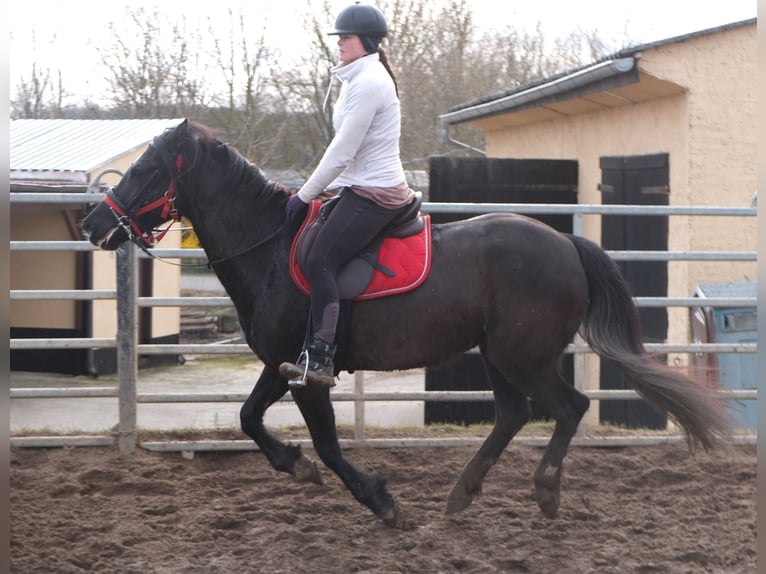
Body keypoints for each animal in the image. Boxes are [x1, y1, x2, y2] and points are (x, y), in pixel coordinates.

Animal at [82, 119, 732, 528]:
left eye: (144, 169)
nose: (92, 224)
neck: (269, 247)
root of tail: (566, 243)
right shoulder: (284, 364)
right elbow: (248, 418)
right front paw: (297, 467)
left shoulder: (310, 375)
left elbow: (328, 443)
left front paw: (378, 500)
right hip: (497, 355)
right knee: (513, 414)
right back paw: (462, 494)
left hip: (523, 356)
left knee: (566, 407)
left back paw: (544, 491)